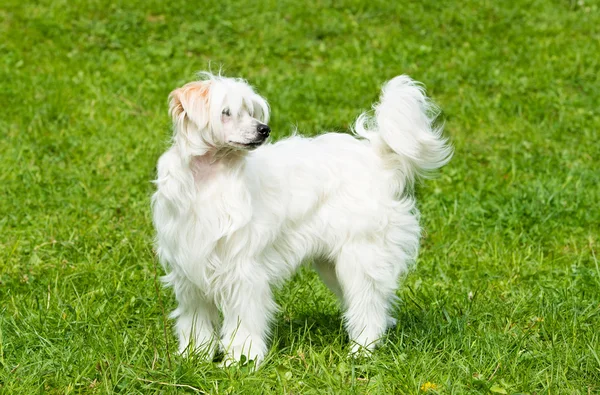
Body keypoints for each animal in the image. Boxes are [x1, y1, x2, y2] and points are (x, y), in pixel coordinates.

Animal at [152, 72, 452, 366]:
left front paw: (242, 358)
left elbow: (243, 319)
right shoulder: (190, 272)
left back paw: (363, 349)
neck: (207, 181)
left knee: (369, 305)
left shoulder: (242, 273)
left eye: (250, 111)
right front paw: (195, 354)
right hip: (335, 265)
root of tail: (377, 159)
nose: (264, 129)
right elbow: (196, 319)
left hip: (359, 257)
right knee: (377, 301)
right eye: (226, 112)